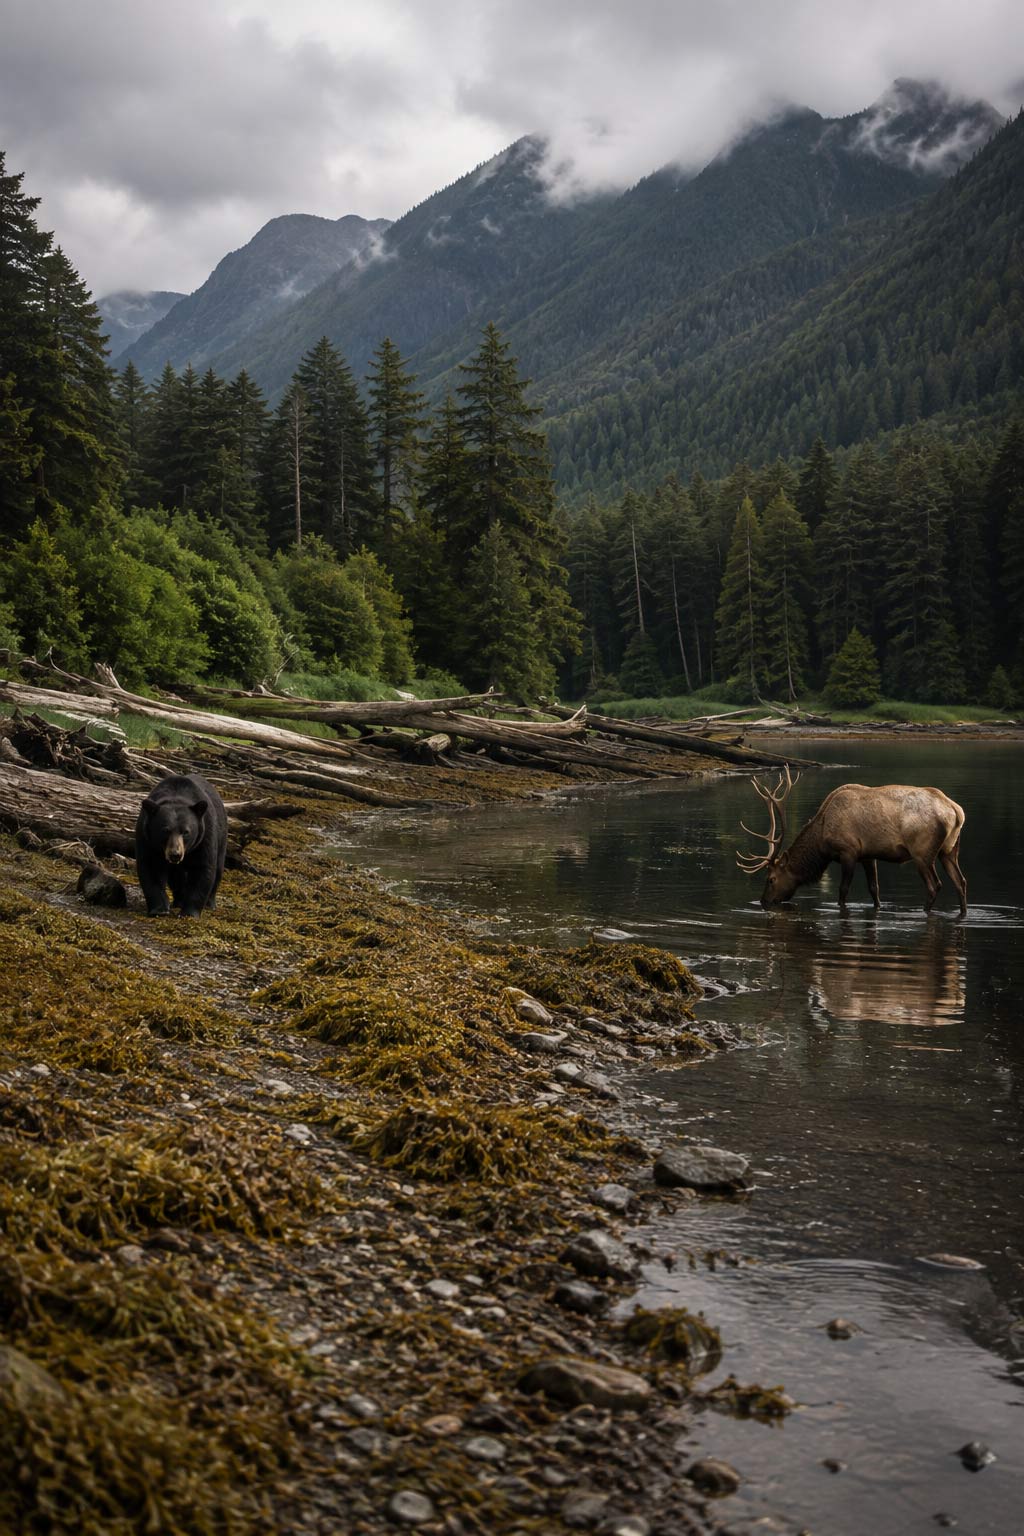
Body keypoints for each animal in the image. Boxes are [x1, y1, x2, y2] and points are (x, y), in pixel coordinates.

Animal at [135, 773, 227, 918]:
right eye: (165, 830)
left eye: (186, 832)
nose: (175, 854)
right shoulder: (147, 839)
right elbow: (151, 867)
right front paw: (159, 909)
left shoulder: (204, 836)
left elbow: (203, 868)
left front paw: (189, 913)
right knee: (176, 878)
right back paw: (179, 901)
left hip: (221, 836)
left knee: (218, 868)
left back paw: (209, 903)